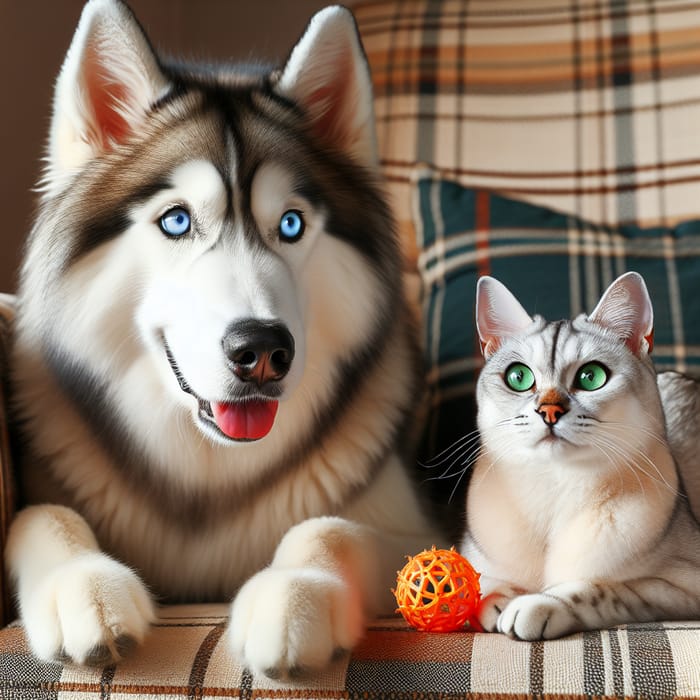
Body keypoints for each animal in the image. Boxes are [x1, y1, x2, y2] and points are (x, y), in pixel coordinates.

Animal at [6, 0, 442, 680]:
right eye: (176, 221)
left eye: (290, 224)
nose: (262, 351)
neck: (211, 471)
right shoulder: (46, 494)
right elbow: (40, 514)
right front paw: (82, 586)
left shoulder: (418, 528)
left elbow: (331, 526)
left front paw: (293, 596)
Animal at [460, 272, 700, 640]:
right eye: (518, 377)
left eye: (591, 377)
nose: (549, 410)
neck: (554, 486)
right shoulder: (471, 550)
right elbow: (479, 575)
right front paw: (497, 597)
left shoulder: (680, 585)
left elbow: (604, 589)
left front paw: (538, 604)